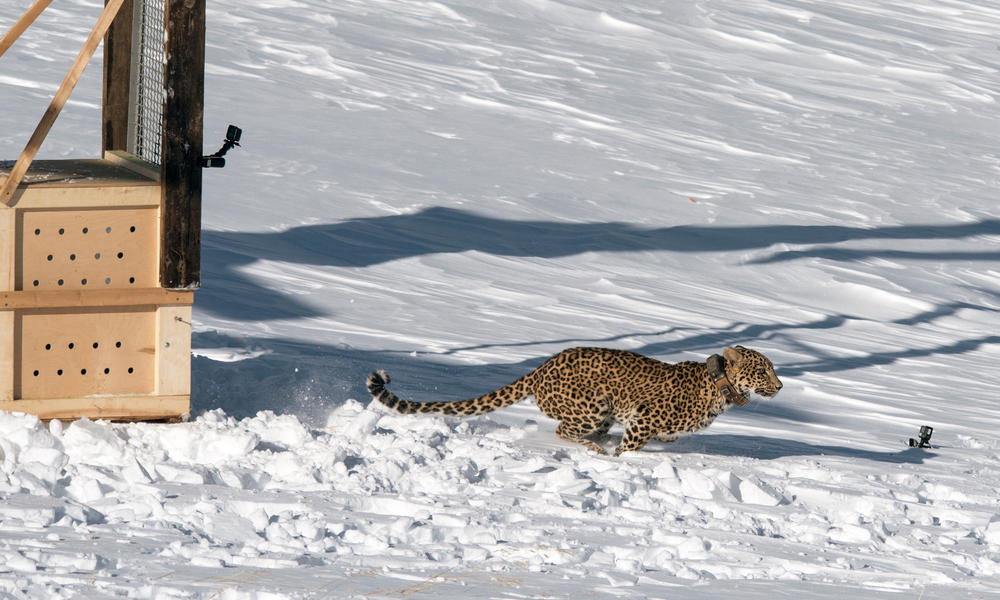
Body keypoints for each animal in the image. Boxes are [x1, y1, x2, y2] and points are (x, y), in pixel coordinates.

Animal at [366, 344, 780, 458]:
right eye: (763, 370)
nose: (779, 386)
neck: (722, 388)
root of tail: (541, 368)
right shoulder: (643, 419)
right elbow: (631, 446)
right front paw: (618, 458)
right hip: (591, 407)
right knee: (565, 430)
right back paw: (594, 448)